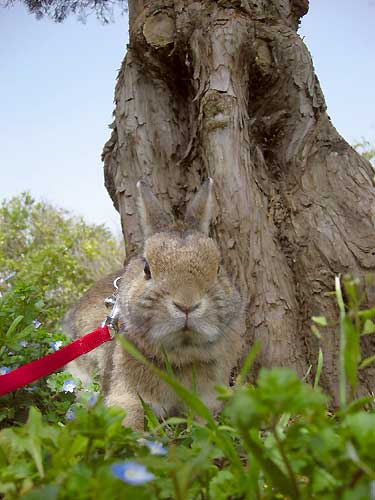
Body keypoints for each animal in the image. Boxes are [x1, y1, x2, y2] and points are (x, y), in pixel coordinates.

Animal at [63, 180, 245, 430]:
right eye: (147, 269)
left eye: (218, 267)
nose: (186, 304)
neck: (180, 357)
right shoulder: (125, 393)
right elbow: (130, 413)